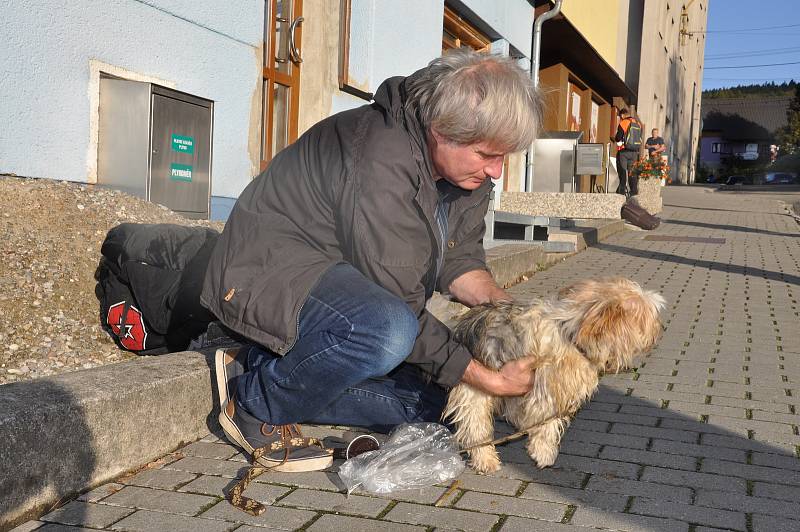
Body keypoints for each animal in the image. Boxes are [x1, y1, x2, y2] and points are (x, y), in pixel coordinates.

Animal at [444, 276, 664, 472]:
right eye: (648, 316)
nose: (660, 329)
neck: (571, 333)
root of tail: (460, 327)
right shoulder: (546, 389)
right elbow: (547, 422)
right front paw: (543, 452)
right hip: (473, 391)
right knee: (474, 427)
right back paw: (486, 460)